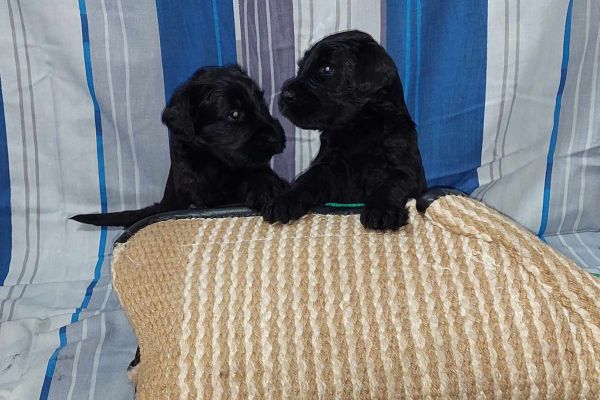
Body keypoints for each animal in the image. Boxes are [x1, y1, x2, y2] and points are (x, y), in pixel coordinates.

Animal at [74, 65, 290, 228]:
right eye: (234, 114)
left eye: (261, 103)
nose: (276, 138)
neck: (215, 163)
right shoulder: (194, 195)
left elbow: (258, 174)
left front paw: (268, 190)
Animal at [262, 29, 426, 230]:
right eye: (301, 67)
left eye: (327, 69)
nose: (285, 95)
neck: (358, 127)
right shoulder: (327, 165)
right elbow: (306, 180)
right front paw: (284, 201)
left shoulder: (405, 168)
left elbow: (392, 184)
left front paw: (381, 210)